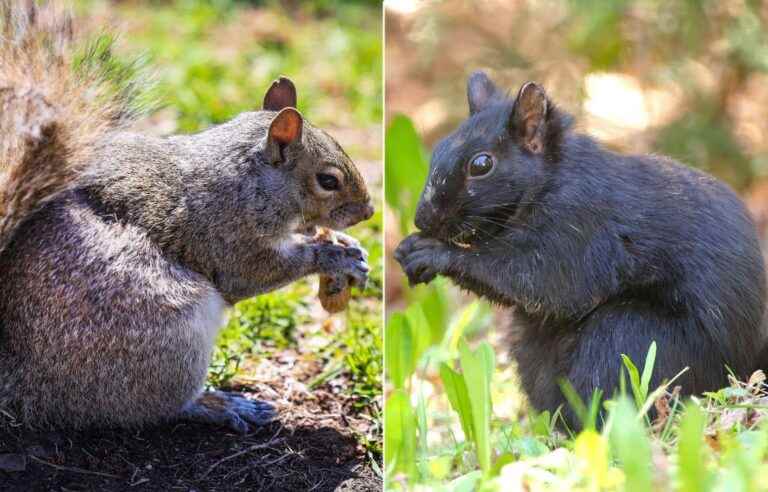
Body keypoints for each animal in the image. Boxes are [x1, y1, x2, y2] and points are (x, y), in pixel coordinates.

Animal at [0, 0, 372, 430]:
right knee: (161, 405)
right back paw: (223, 405)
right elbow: (253, 273)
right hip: (167, 333)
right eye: (328, 180)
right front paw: (333, 255)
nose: (369, 211)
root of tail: (23, 382)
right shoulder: (227, 237)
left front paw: (346, 246)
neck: (247, 182)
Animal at [396, 71, 768, 428]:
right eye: (438, 148)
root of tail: (742, 366)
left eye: (481, 164)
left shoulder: (580, 227)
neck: (551, 180)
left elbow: (542, 279)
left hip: (632, 336)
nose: (423, 218)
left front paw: (432, 252)